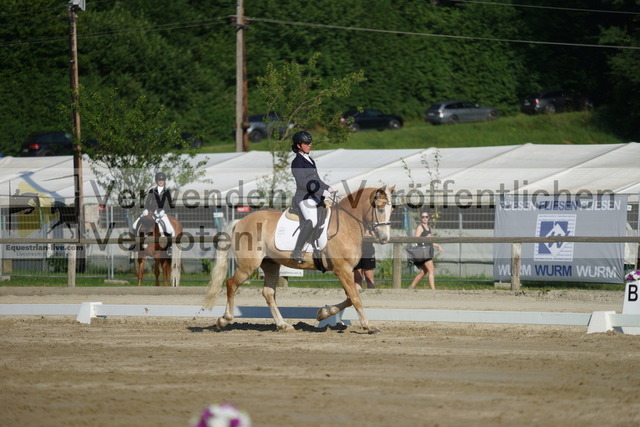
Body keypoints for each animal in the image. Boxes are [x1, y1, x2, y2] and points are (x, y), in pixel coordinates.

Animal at [203, 185, 395, 334]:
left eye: (391, 209)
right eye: (379, 209)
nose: (385, 238)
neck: (347, 224)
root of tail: (241, 221)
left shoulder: (347, 271)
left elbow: (350, 297)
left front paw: (322, 313)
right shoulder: (343, 270)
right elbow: (355, 298)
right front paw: (369, 326)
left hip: (271, 264)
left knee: (268, 293)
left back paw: (283, 325)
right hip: (248, 265)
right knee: (231, 284)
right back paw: (224, 320)